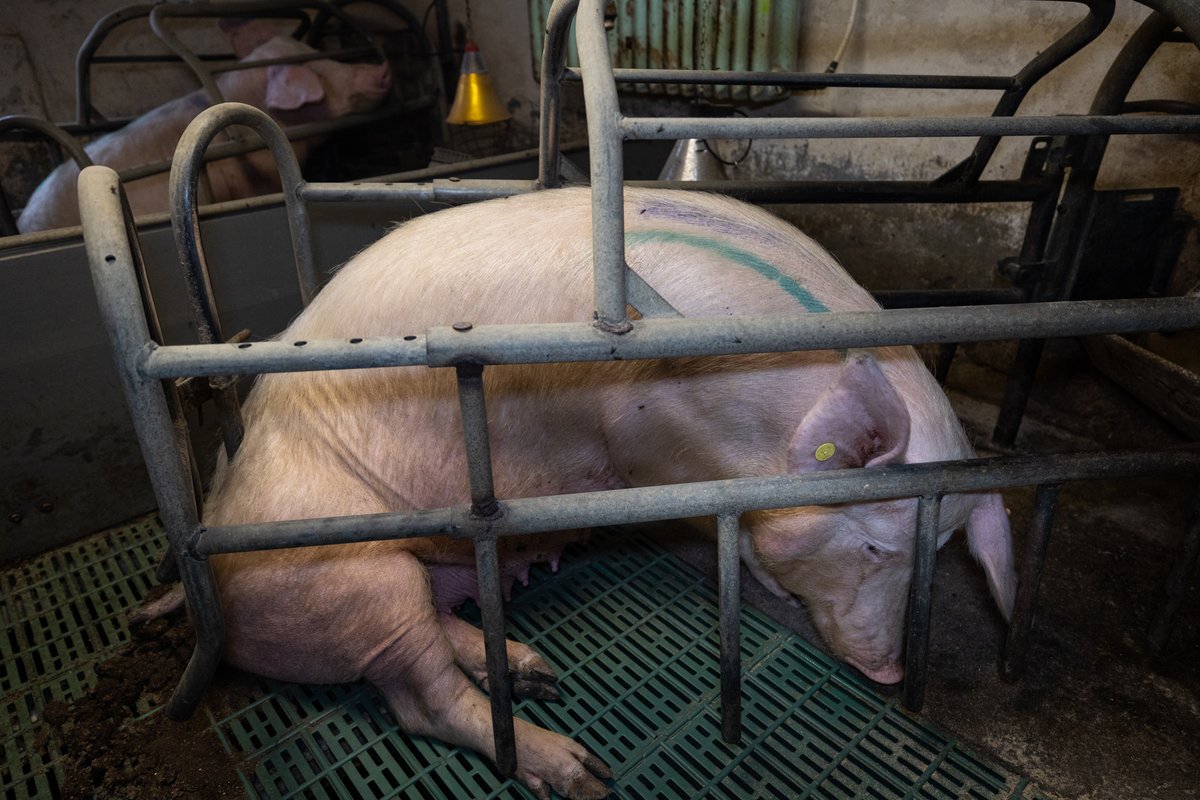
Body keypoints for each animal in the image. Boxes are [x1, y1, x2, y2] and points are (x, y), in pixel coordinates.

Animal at [190, 187, 1016, 798]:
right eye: (875, 544)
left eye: (940, 546)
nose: (891, 672)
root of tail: (213, 604)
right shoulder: (654, 439)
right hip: (345, 573)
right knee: (421, 698)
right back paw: (578, 769)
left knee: (438, 630)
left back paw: (534, 671)